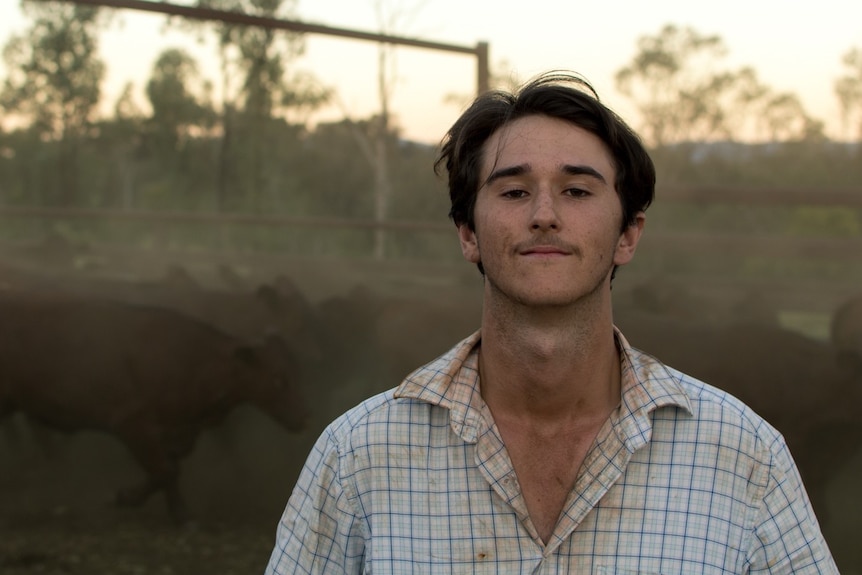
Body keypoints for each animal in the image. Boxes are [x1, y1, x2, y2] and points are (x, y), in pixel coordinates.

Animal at [0, 290, 308, 524]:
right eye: (278, 378)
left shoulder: (177, 431)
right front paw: (129, 499)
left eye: (297, 371)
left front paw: (175, 511)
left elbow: (169, 469)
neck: (194, 361)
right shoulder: (131, 423)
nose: (303, 417)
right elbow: (163, 470)